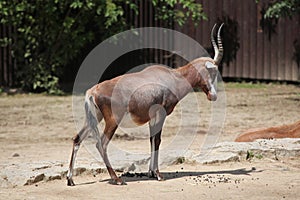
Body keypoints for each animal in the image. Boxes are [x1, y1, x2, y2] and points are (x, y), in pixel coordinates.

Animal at [67, 23, 224, 186]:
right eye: (213, 71)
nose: (213, 96)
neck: (172, 77)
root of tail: (92, 91)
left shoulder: (152, 117)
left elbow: (152, 139)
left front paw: (151, 173)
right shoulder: (161, 114)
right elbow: (158, 140)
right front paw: (159, 174)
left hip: (94, 118)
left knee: (77, 139)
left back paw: (70, 180)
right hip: (112, 121)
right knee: (101, 143)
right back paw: (117, 179)